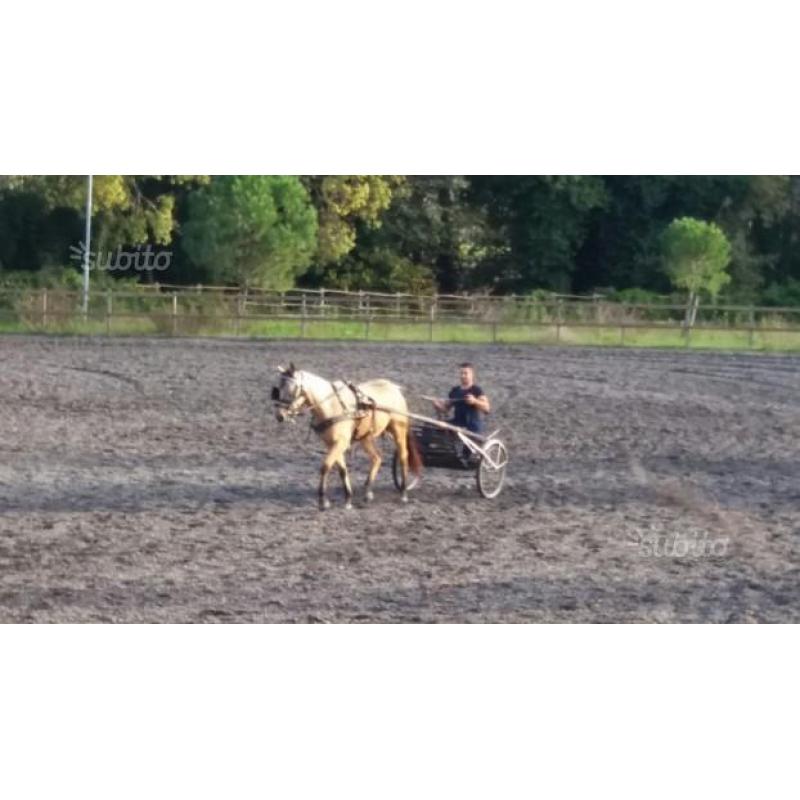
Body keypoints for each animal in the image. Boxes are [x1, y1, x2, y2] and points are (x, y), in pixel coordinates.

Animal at [272, 364, 423, 510]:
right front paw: (348, 499)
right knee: (377, 458)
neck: (331, 406)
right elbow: (342, 470)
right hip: (365, 437)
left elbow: (325, 466)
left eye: (293, 389)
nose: (280, 415)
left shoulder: (341, 443)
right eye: (278, 388)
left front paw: (323, 501)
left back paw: (403, 493)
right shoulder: (332, 444)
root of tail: (393, 387)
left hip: (399, 431)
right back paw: (367, 493)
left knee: (403, 457)